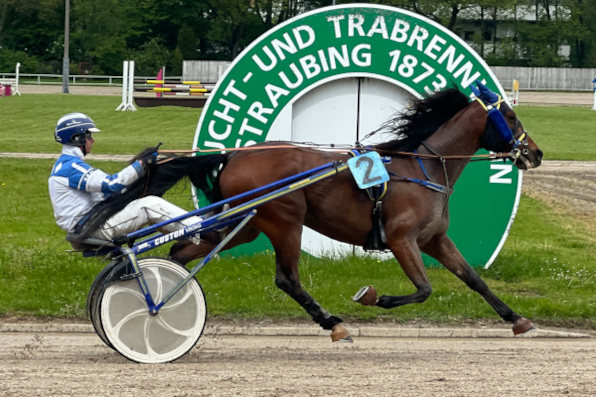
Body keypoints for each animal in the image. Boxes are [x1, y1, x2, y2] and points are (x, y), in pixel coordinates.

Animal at [136, 81, 544, 340]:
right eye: (511, 117)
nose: (536, 153)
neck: (423, 167)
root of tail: (234, 156)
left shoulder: (435, 239)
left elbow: (473, 278)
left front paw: (517, 319)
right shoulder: (402, 239)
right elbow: (423, 289)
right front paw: (373, 296)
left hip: (245, 223)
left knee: (181, 251)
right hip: (285, 220)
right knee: (287, 278)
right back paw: (333, 323)